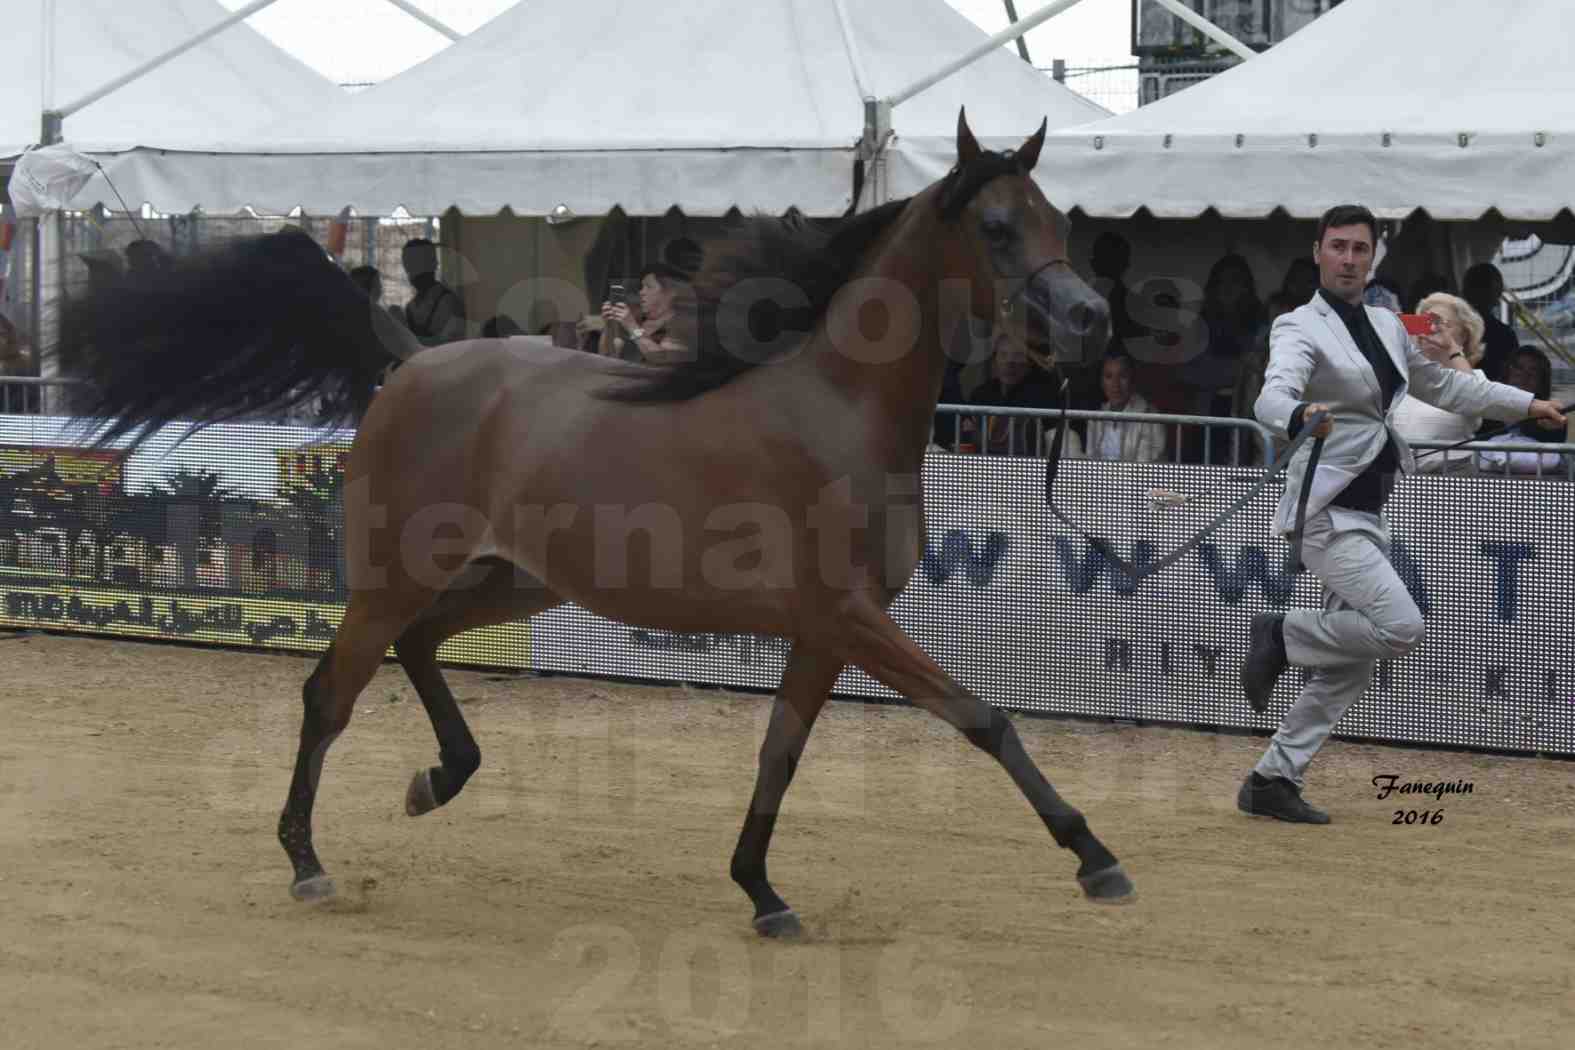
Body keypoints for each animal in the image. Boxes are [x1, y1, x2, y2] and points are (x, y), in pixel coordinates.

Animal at [67, 113, 1134, 938]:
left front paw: (760, 891)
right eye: (995, 228)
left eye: (1054, 220)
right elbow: (984, 718)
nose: (1088, 318)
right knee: (330, 692)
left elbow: (779, 755)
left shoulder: (827, 630)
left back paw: (438, 780)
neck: (834, 409)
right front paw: (1095, 857)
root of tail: (411, 359)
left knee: (418, 648)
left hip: (516, 578)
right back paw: (307, 862)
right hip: (397, 574)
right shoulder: (851, 618)